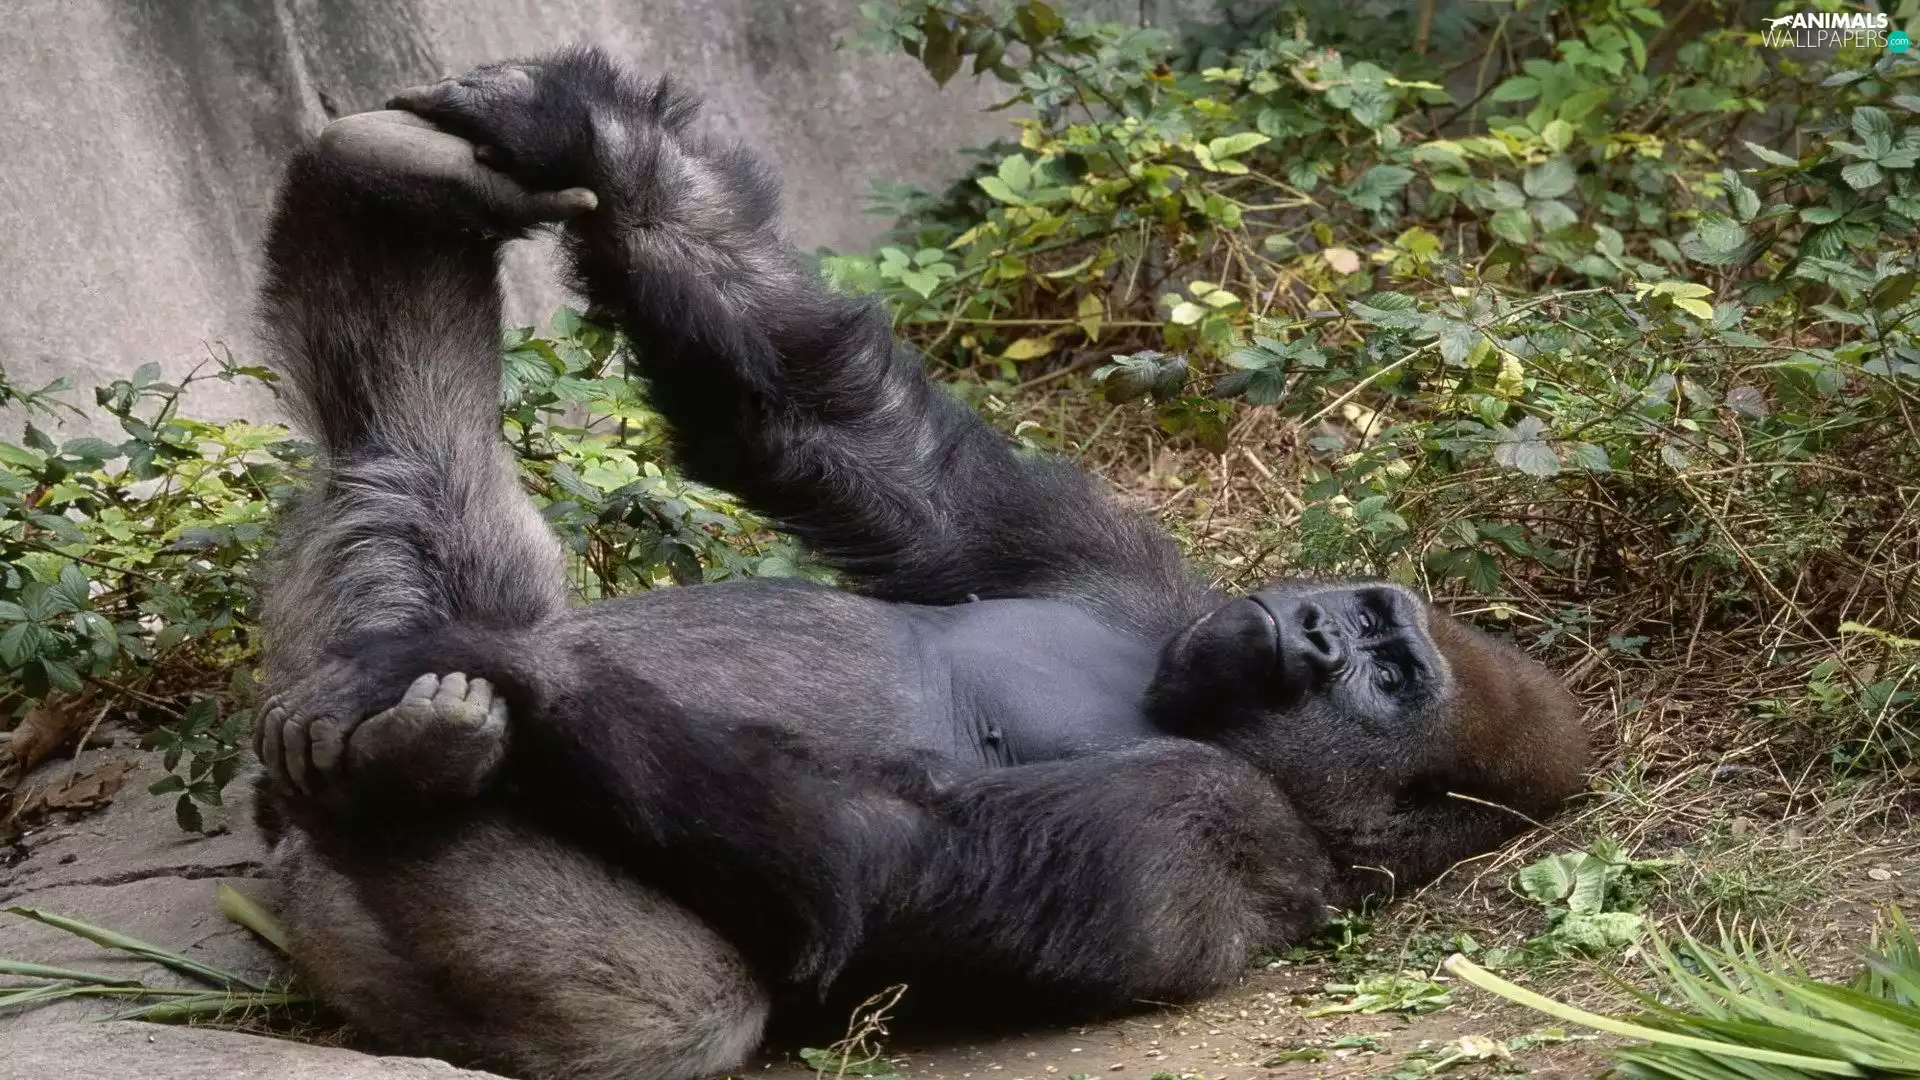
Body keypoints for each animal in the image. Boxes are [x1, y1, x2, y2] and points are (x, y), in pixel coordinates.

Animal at [248, 48, 1587, 1080]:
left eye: (1391, 681)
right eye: (1364, 620)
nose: (1312, 635)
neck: (1180, 695)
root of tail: (287, 892)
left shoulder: (1230, 834)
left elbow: (867, 858)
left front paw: (493, 670)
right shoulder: (1124, 567)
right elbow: (853, 433)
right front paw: (587, 133)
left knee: (672, 1010)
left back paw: (417, 764)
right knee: (410, 478)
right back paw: (381, 188)